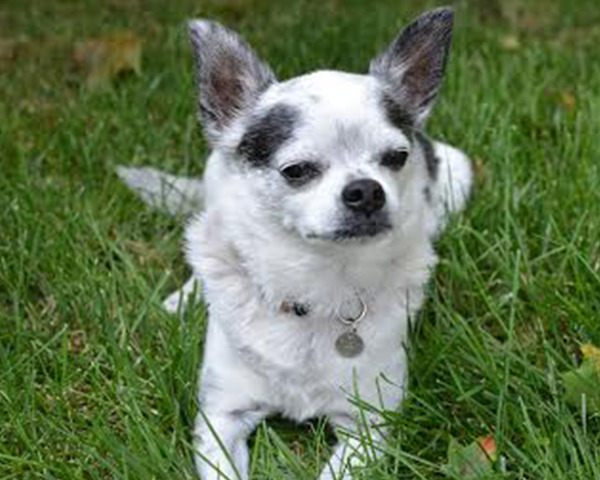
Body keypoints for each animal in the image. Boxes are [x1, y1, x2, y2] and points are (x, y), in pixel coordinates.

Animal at [118, 5, 474, 478]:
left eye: (397, 157)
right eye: (296, 171)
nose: (366, 190)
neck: (317, 286)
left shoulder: (368, 428)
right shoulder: (219, 418)